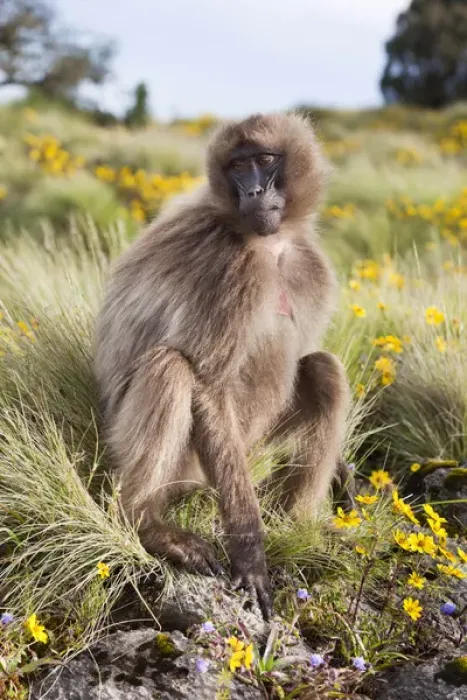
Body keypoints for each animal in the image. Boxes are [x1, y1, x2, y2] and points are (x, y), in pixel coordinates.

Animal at [94, 112, 354, 620]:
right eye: (237, 166)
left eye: (265, 160)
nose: (253, 191)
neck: (270, 245)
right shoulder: (228, 268)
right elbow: (209, 386)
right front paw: (250, 551)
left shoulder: (310, 263)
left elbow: (307, 357)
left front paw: (334, 482)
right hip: (195, 465)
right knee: (171, 368)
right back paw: (148, 527)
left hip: (249, 445)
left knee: (323, 370)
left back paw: (295, 526)